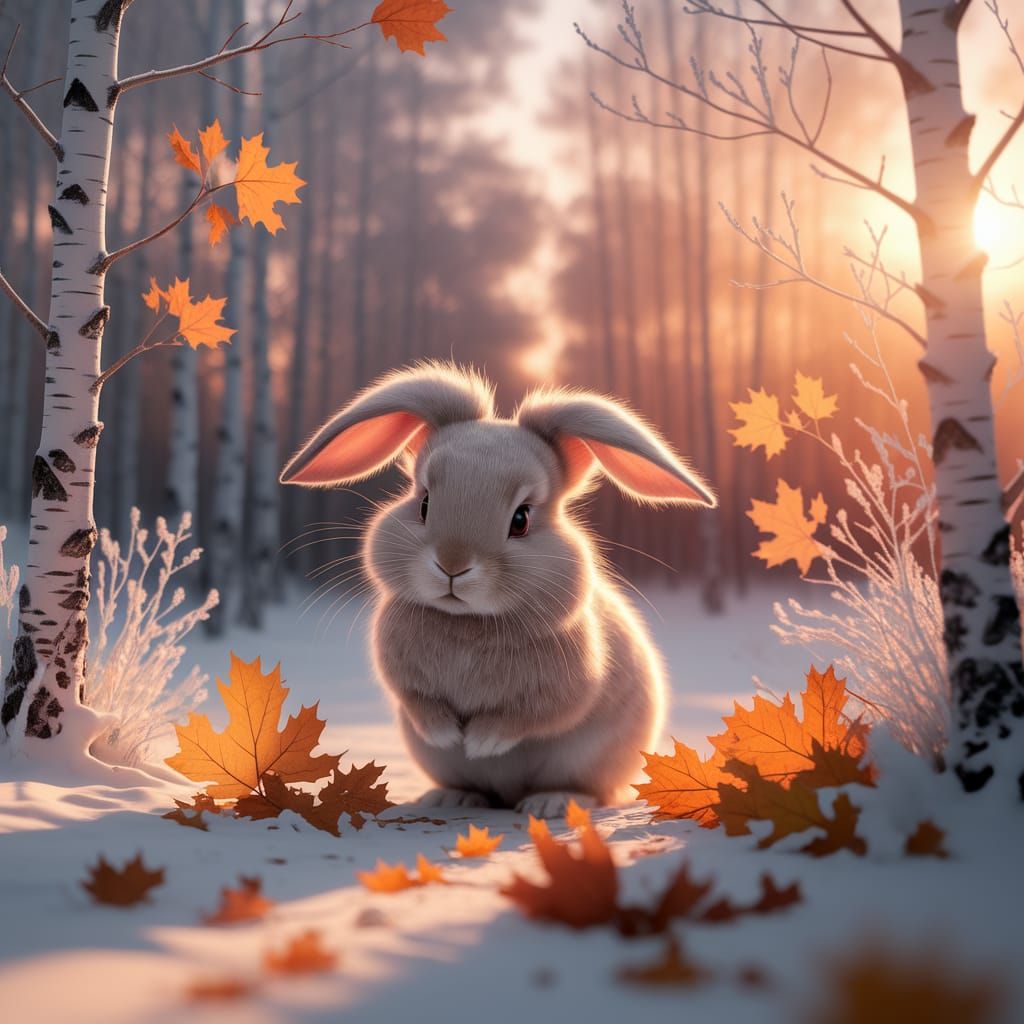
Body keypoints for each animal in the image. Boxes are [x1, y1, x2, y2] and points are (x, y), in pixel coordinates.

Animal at [280, 362, 716, 819]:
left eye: (521, 519)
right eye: (424, 503)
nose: (452, 565)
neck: (466, 622)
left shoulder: (566, 691)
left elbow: (532, 716)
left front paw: (479, 741)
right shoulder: (404, 680)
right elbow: (420, 704)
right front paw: (447, 735)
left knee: (592, 791)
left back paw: (549, 802)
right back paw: (450, 797)